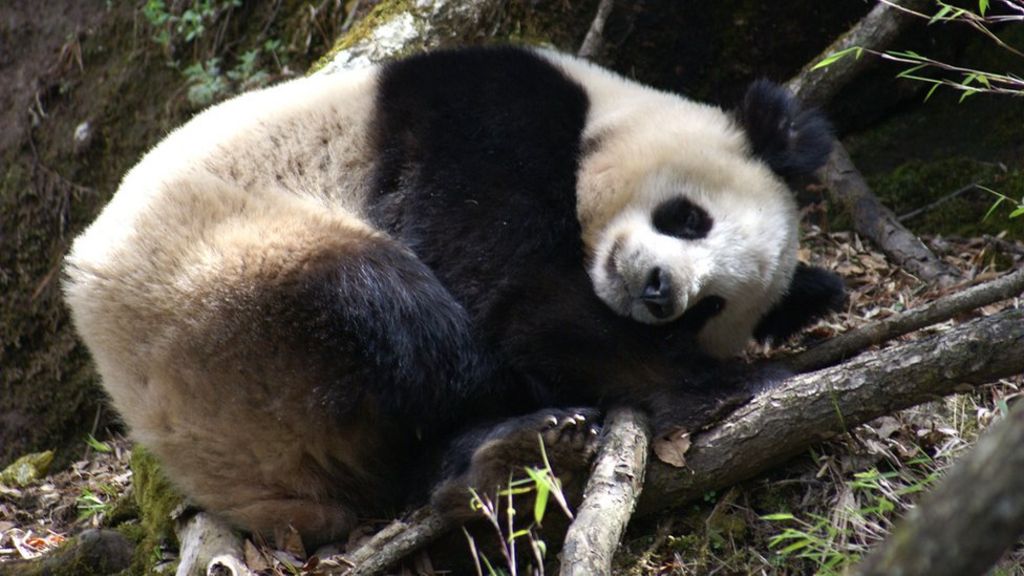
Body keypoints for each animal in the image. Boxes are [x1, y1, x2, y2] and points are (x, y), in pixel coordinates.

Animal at [64, 46, 843, 547]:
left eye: (709, 309)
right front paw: (736, 384)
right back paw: (517, 433)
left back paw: (504, 456)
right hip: (226, 288)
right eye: (689, 218)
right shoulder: (484, 116)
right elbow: (512, 291)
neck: (605, 108)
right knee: (391, 314)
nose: (660, 292)